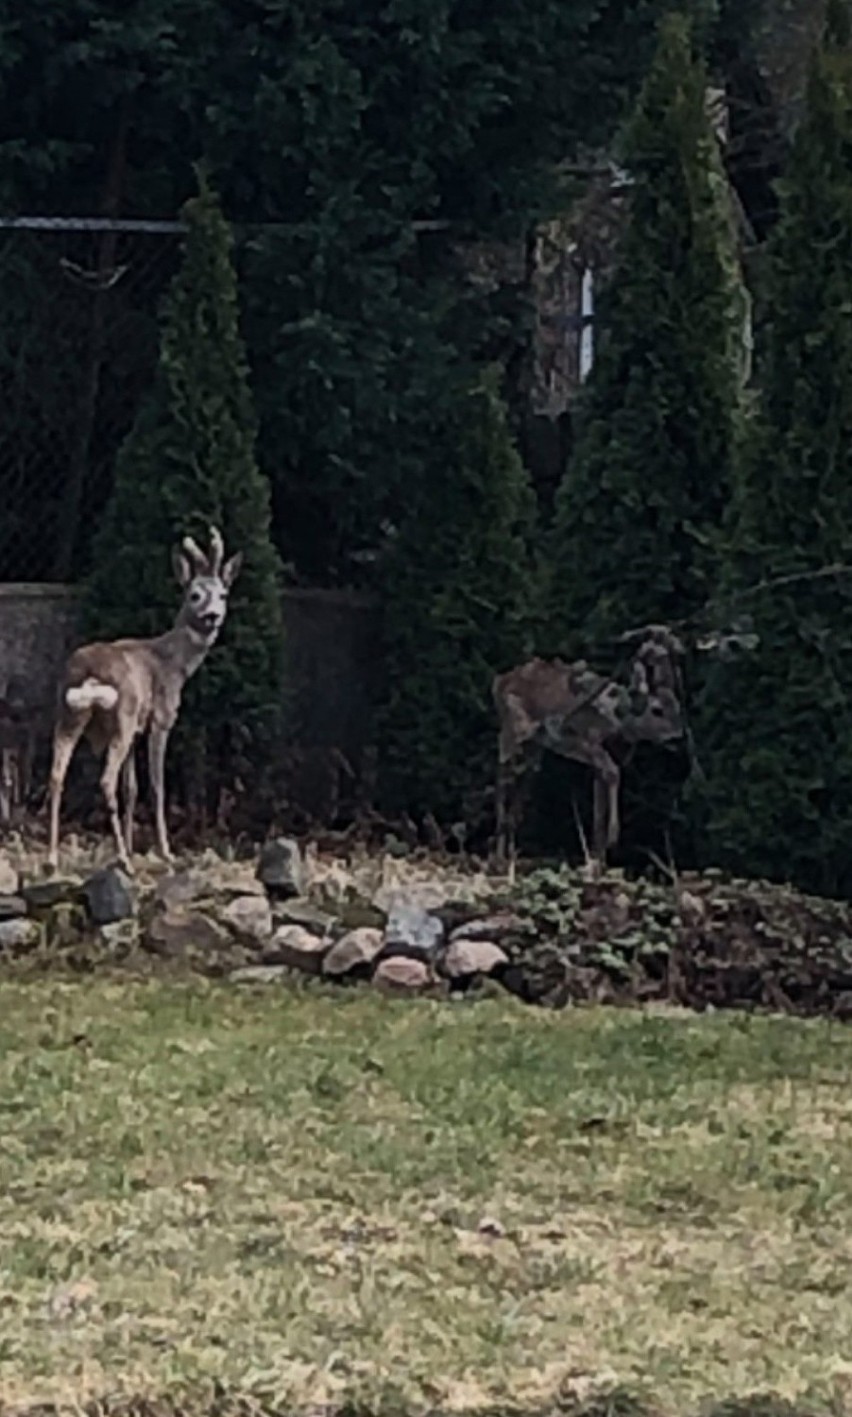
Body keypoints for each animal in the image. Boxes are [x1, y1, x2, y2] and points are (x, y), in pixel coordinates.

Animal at [47, 527, 242, 867]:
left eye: (223, 594)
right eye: (194, 594)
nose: (212, 617)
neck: (172, 662)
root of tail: (89, 672)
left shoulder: (138, 729)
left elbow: (132, 788)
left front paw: (130, 842)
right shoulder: (161, 719)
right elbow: (156, 786)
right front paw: (165, 850)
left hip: (70, 713)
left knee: (57, 775)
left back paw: (53, 858)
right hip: (120, 716)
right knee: (105, 780)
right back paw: (122, 859)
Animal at [490, 626, 683, 867]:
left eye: (677, 705)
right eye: (657, 710)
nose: (677, 737)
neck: (615, 715)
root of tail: (499, 682)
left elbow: (600, 801)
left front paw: (598, 859)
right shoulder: (583, 741)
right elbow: (613, 772)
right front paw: (612, 839)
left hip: (533, 747)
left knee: (520, 787)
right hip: (512, 732)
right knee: (501, 781)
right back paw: (498, 857)